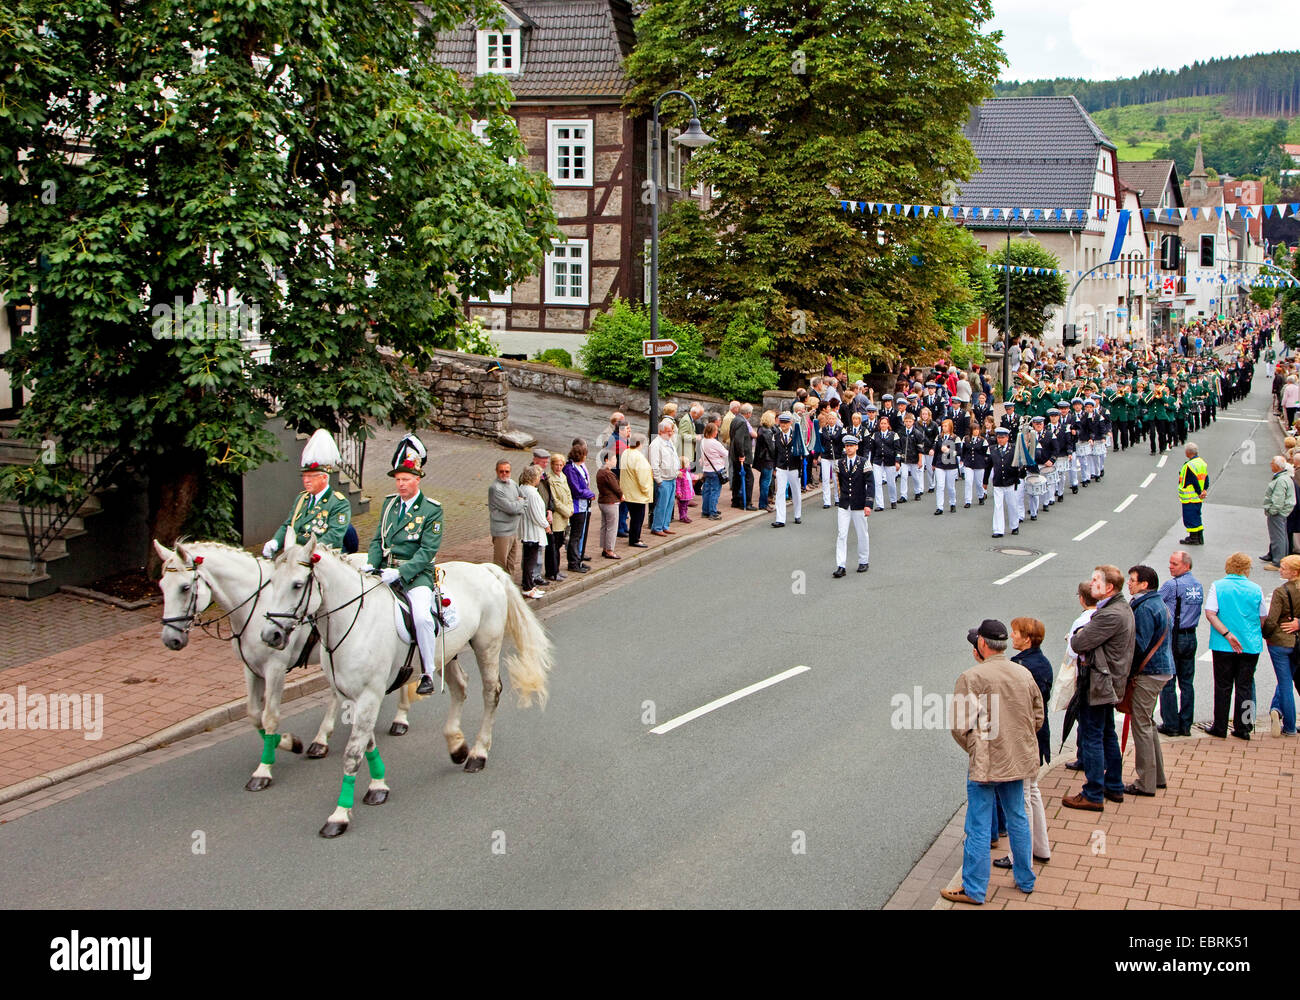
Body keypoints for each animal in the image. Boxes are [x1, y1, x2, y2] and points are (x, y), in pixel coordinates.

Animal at [153, 540, 416, 790]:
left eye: (185, 587)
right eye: (162, 585)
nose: (170, 639)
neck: (254, 605)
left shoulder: (275, 668)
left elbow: (269, 716)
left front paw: (264, 770)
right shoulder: (250, 669)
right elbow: (254, 714)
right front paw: (289, 743)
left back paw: (399, 719)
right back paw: (321, 739)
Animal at [258, 530, 553, 832]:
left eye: (297, 585)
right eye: (270, 582)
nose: (271, 635)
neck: (353, 621)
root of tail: (484, 569)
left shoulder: (369, 695)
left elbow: (353, 753)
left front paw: (339, 815)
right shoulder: (357, 697)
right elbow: (366, 744)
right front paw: (378, 786)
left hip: (486, 645)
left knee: (490, 693)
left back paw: (477, 754)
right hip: (445, 654)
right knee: (460, 687)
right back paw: (457, 746)